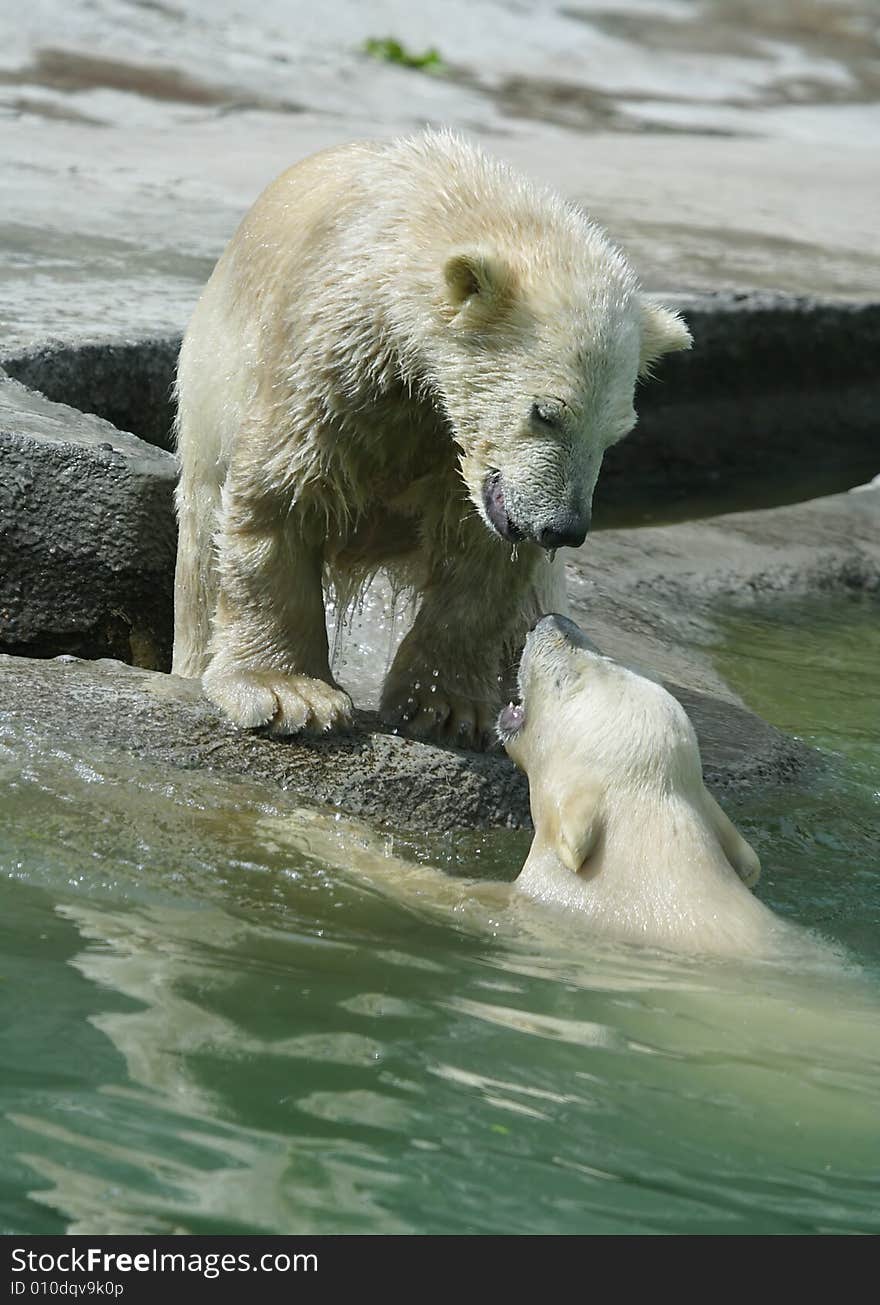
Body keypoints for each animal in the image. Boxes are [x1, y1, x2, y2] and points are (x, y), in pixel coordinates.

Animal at [171, 133, 689, 751]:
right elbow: (284, 496)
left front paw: (446, 708)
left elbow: (481, 557)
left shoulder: (458, 459)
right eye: (546, 413)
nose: (563, 528)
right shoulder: (333, 359)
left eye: (616, 434)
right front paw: (289, 695)